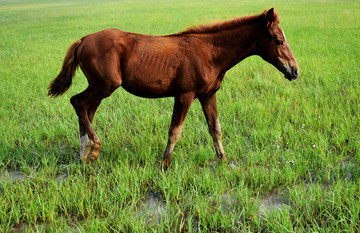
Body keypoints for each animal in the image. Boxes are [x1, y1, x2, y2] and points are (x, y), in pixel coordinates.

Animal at [49, 8, 300, 169]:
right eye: (278, 40)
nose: (295, 70)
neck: (209, 53)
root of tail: (83, 40)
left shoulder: (208, 95)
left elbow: (215, 129)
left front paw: (223, 162)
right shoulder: (185, 95)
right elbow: (175, 131)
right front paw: (165, 165)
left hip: (100, 87)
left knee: (86, 110)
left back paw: (85, 155)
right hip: (105, 85)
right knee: (78, 103)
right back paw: (94, 150)